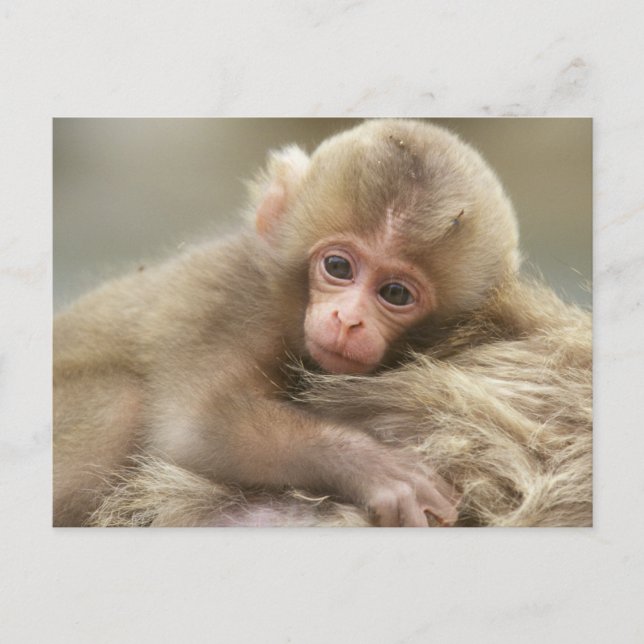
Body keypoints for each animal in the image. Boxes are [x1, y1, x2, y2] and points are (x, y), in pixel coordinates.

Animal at [54, 119, 591, 528]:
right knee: (122, 405)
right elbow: (196, 427)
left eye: (395, 293)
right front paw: (376, 469)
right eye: (337, 267)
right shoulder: (234, 303)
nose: (348, 319)